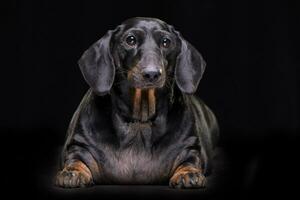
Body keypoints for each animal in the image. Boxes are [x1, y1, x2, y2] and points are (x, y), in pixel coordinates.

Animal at [55, 17, 218, 189]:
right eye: (130, 40)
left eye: (166, 42)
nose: (152, 74)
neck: (140, 121)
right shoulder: (79, 146)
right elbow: (76, 158)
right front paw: (73, 172)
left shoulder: (189, 147)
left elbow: (190, 160)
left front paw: (188, 173)